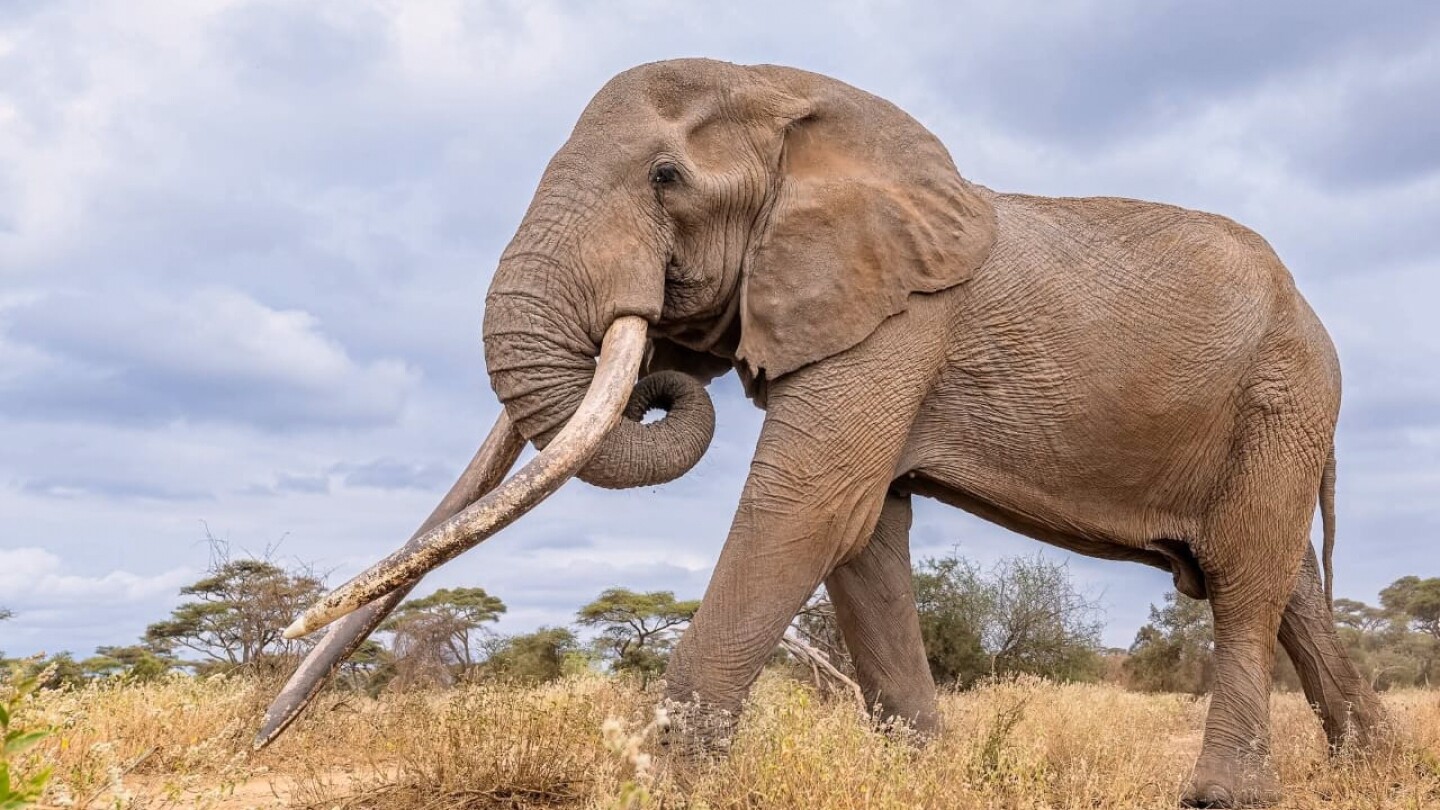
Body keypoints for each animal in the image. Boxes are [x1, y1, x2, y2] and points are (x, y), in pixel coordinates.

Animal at [260, 59, 1388, 807]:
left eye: (664, 178)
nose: (258, 736)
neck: (793, 100)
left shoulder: (898, 321)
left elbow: (808, 508)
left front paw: (670, 788)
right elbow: (864, 539)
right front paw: (924, 778)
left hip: (1285, 393)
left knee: (1244, 578)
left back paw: (1227, 796)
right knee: (1288, 585)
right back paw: (1371, 765)